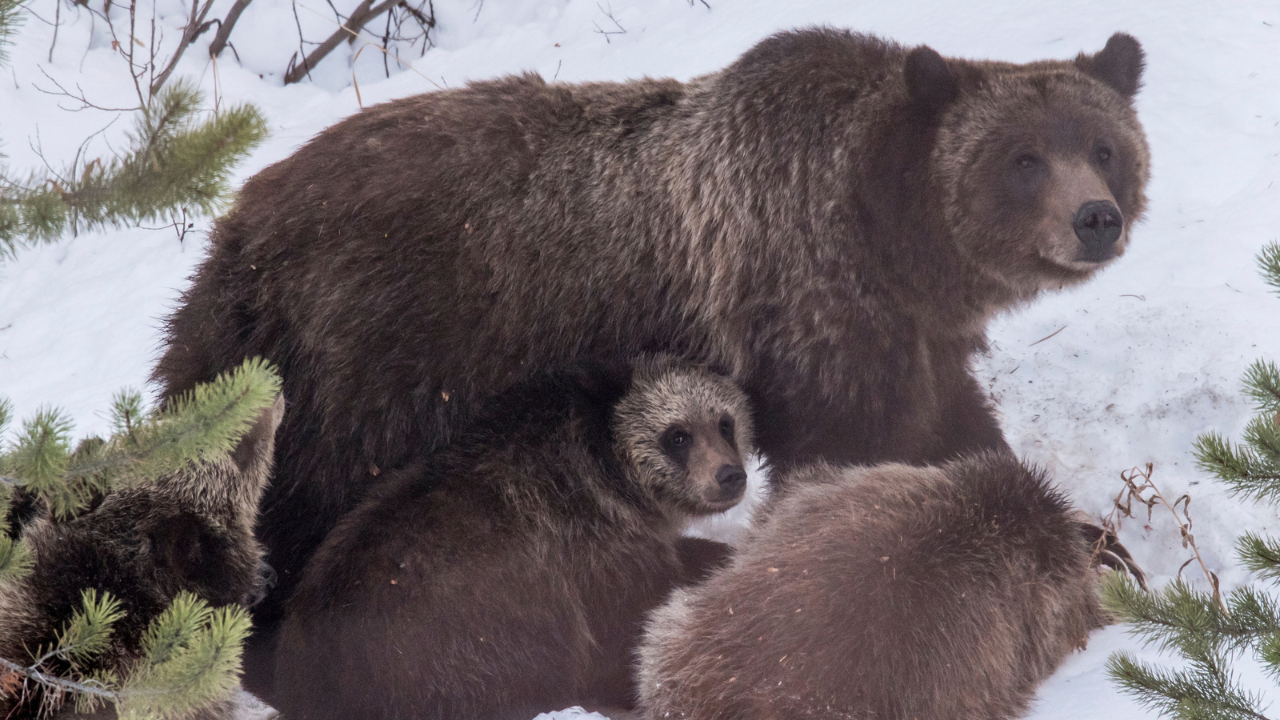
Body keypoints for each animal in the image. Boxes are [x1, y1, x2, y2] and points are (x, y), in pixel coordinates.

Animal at [152, 30, 1152, 632]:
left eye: (1104, 146)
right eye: (1024, 159)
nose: (1096, 218)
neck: (889, 235)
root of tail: (236, 229)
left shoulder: (906, 335)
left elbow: (952, 432)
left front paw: (1100, 543)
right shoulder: (809, 306)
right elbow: (861, 451)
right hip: (372, 362)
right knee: (302, 503)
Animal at [270, 358, 747, 717]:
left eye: (724, 423)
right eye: (678, 435)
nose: (731, 475)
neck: (617, 480)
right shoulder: (590, 551)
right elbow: (625, 626)